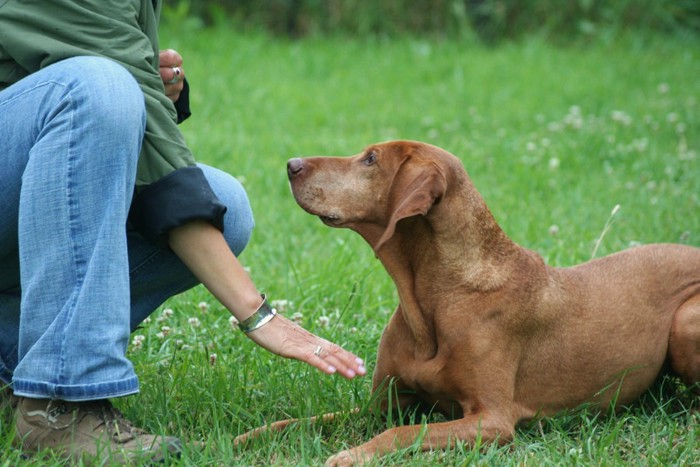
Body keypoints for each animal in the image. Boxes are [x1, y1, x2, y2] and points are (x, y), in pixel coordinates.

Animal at [238, 141, 696, 466]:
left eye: (370, 159)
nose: (291, 164)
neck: (435, 297)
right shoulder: (385, 406)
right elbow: (302, 421)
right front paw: (248, 436)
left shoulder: (491, 420)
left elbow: (402, 434)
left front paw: (352, 454)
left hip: (686, 322)